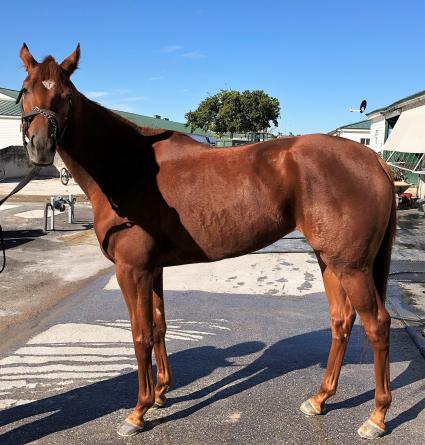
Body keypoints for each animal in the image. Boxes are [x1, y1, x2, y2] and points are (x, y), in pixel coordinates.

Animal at [16, 43, 394, 438]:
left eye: (66, 95)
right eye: (26, 90)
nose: (40, 147)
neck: (127, 167)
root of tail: (373, 159)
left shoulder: (132, 271)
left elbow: (140, 335)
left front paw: (138, 411)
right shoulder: (153, 270)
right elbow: (159, 326)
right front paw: (161, 393)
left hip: (352, 267)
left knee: (377, 325)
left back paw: (376, 417)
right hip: (329, 260)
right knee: (341, 321)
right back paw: (319, 399)